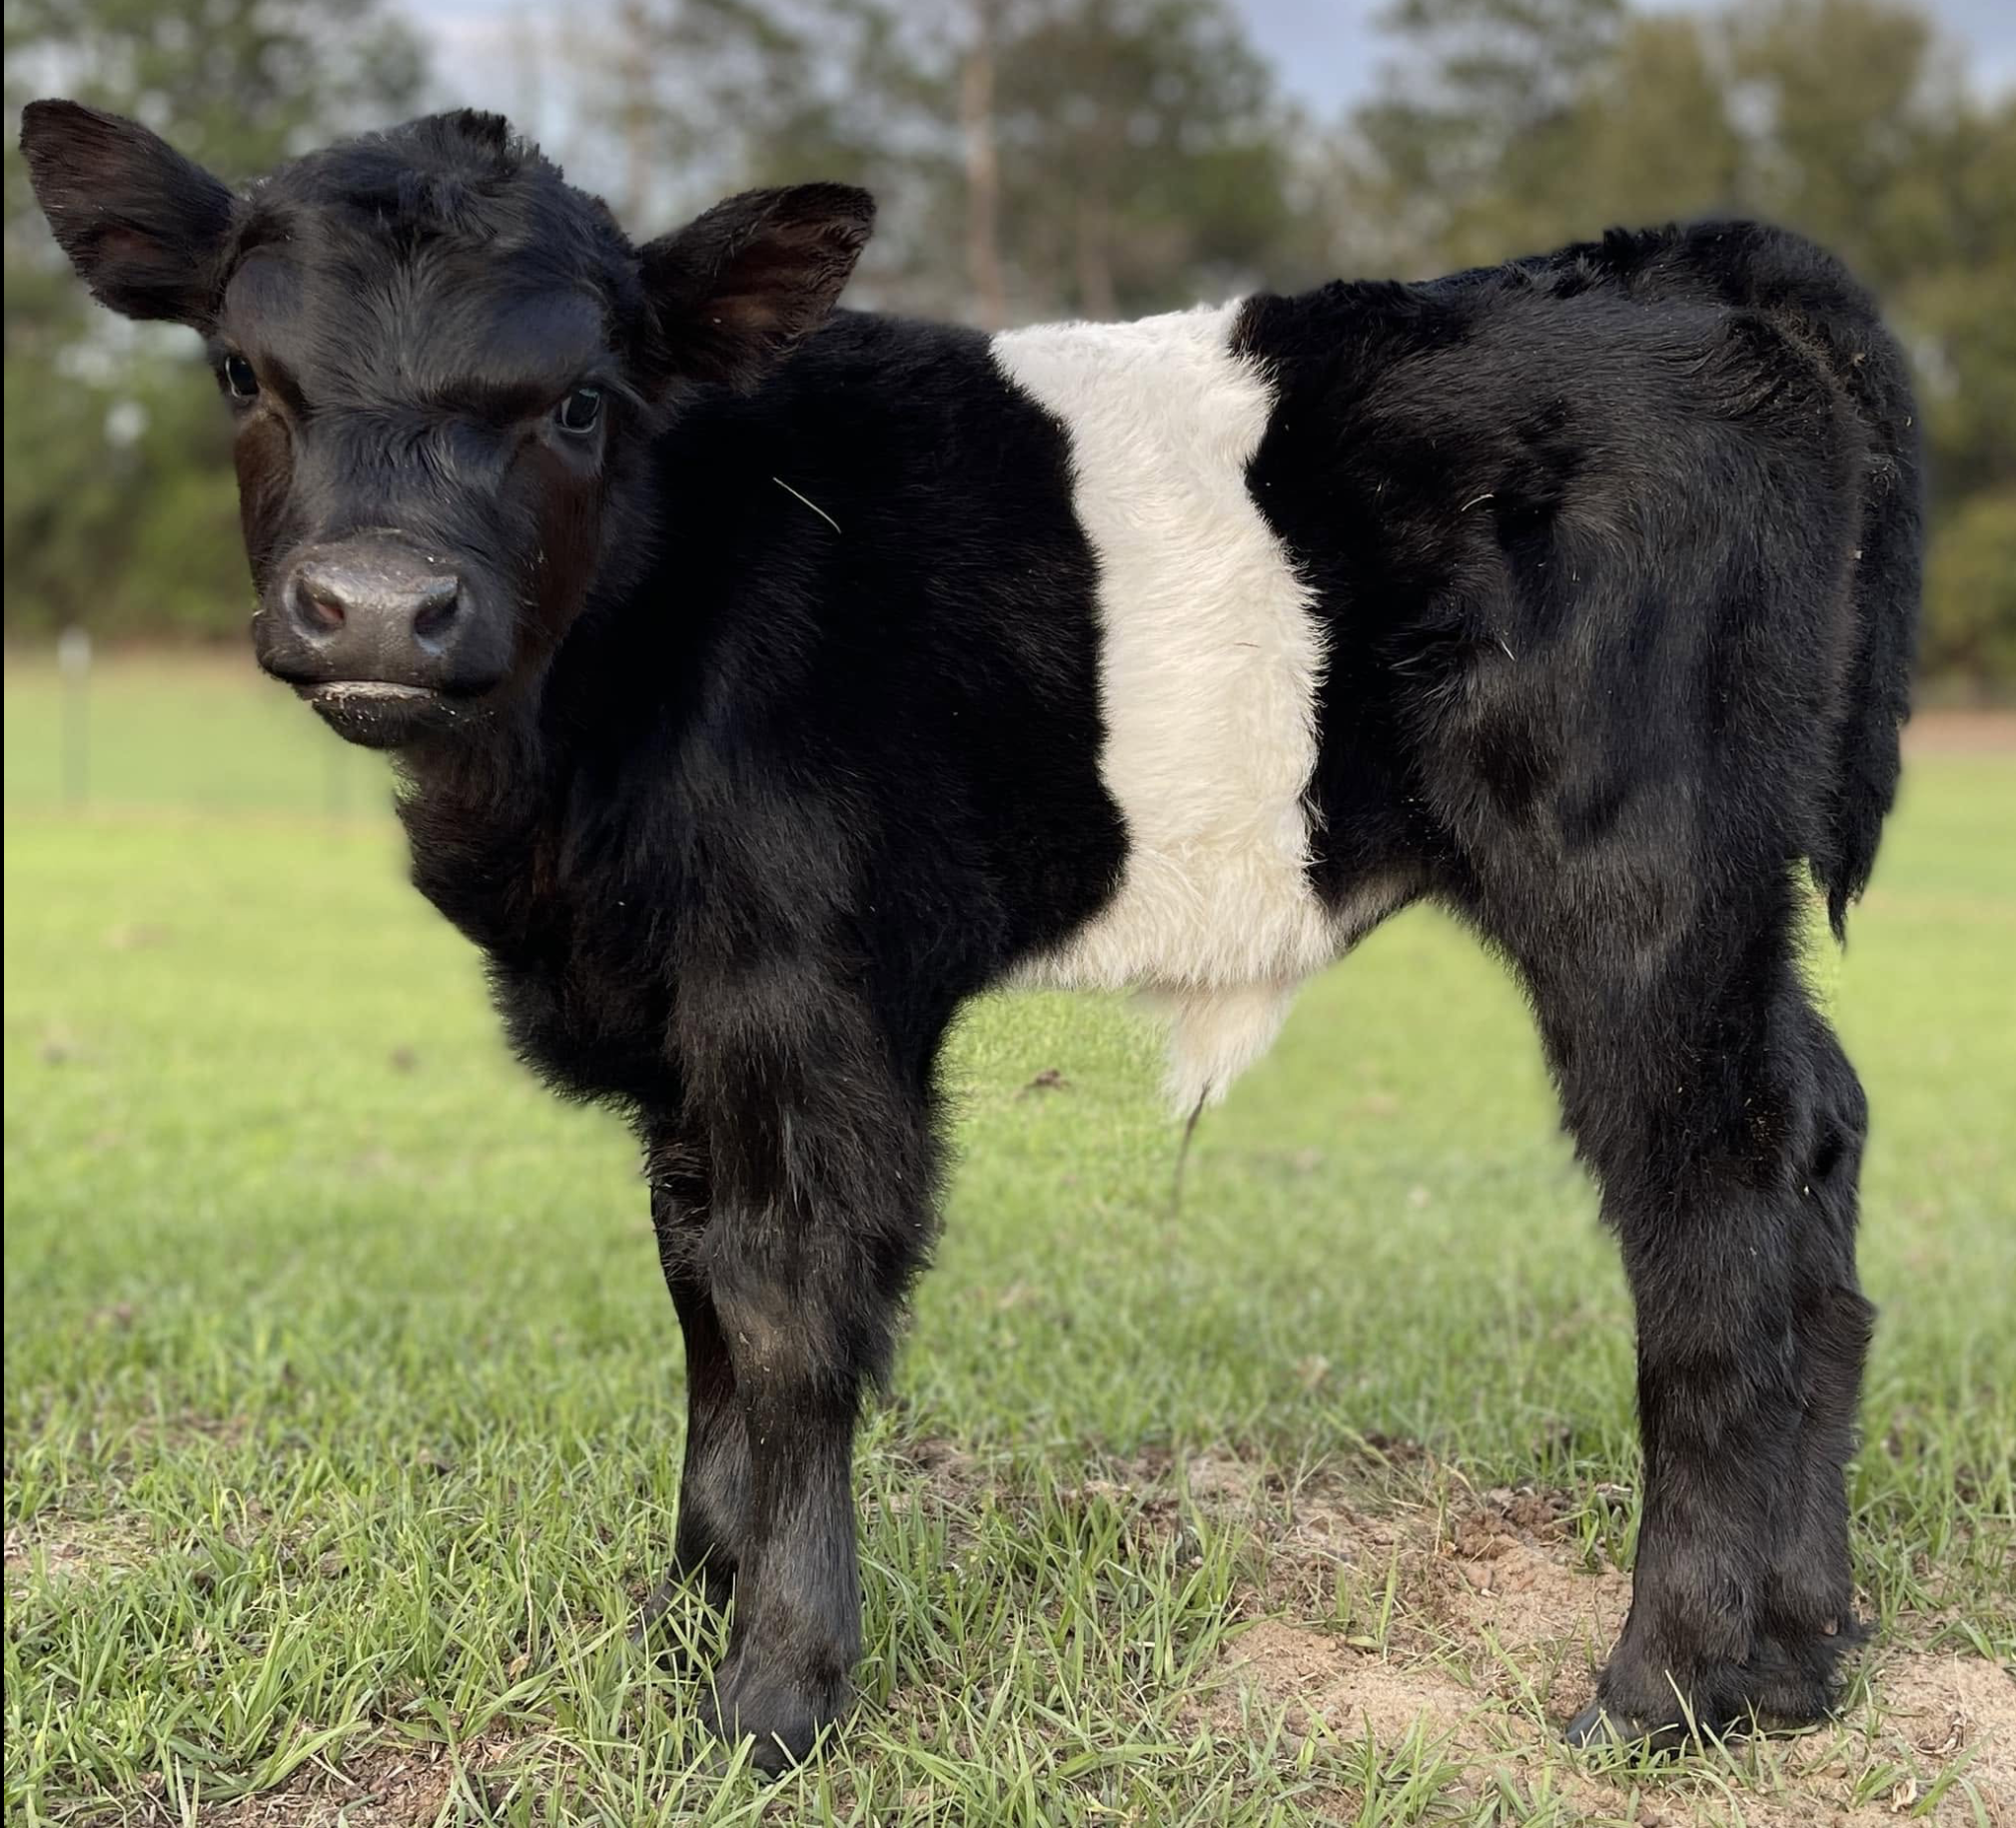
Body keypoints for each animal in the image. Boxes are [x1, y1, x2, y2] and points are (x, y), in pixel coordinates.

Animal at [21, 99, 1919, 1774]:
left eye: (577, 400)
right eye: (242, 373)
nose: (378, 608)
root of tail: (1664, 264)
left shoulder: (803, 998)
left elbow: (786, 1312)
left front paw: (769, 1697)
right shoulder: (681, 1026)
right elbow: (698, 1299)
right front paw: (685, 1617)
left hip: (1635, 879)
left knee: (1708, 1216)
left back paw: (1665, 1685)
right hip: (1732, 908)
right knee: (1815, 1143)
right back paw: (1802, 1656)